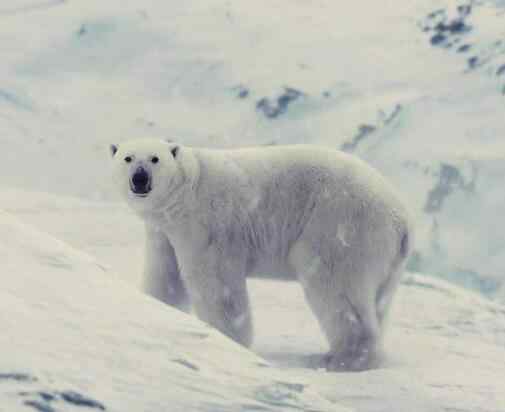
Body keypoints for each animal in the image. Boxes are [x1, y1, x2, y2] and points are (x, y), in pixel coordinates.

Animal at [108, 138, 412, 370]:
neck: (186, 191)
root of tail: (402, 221)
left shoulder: (209, 226)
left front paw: (230, 340)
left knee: (335, 285)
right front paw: (155, 308)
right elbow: (165, 275)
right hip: (387, 262)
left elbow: (216, 283)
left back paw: (341, 359)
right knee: (378, 300)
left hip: (340, 227)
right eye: (127, 157)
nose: (140, 178)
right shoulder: (162, 232)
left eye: (155, 159)